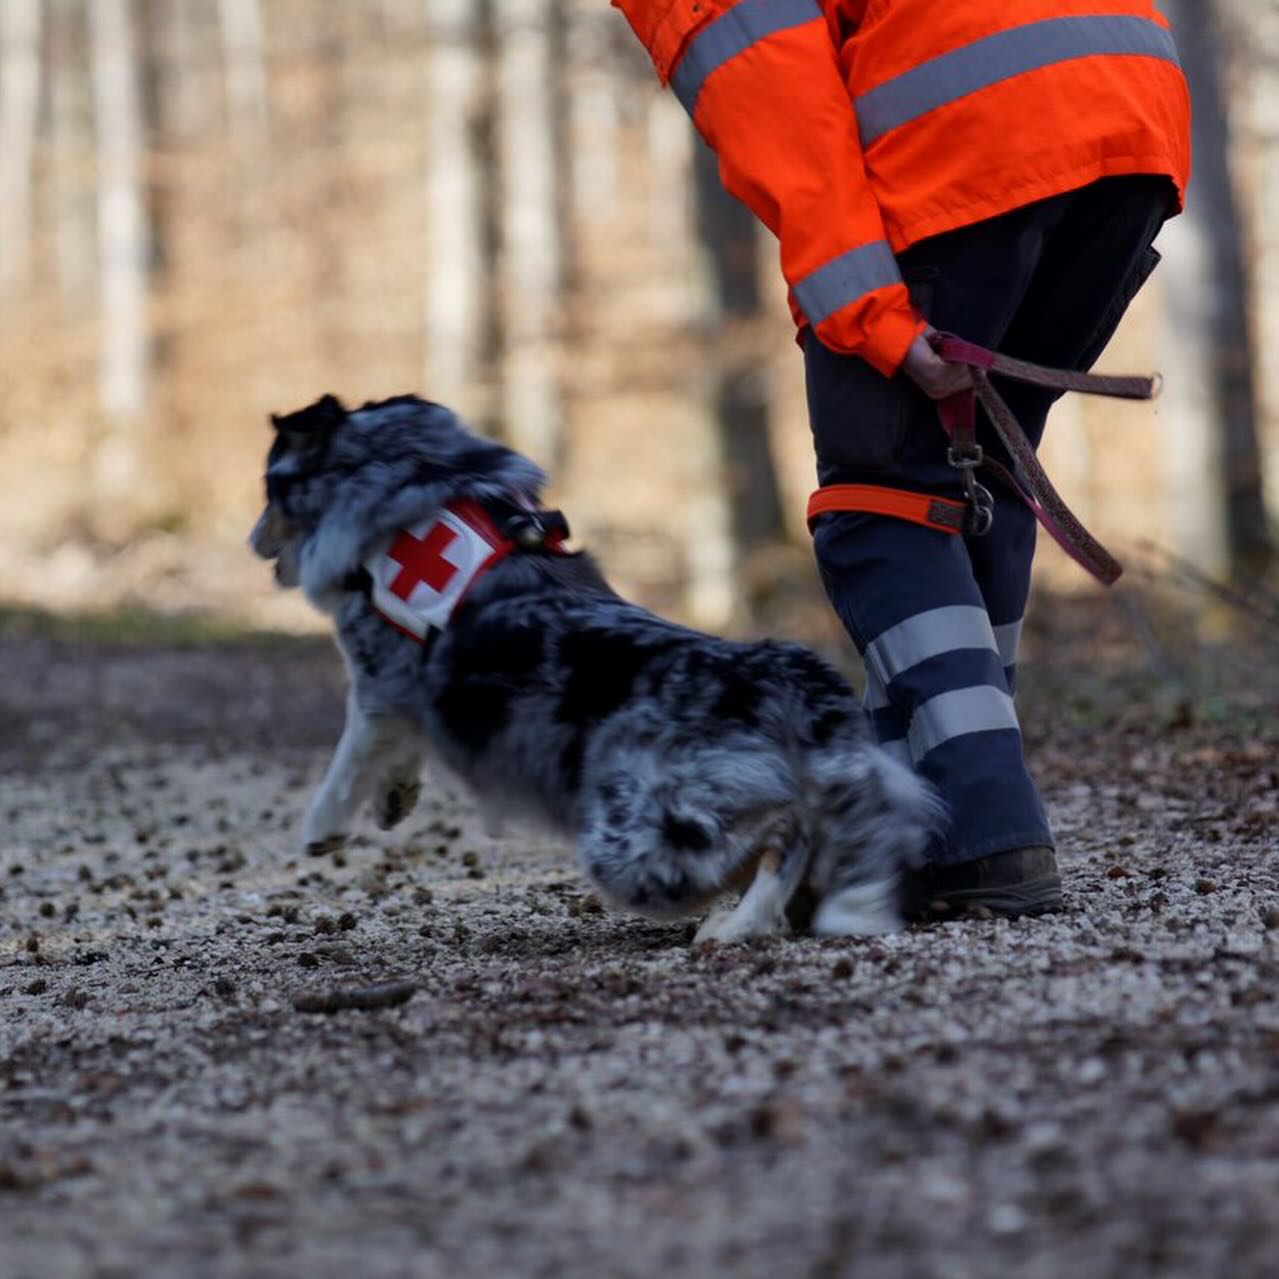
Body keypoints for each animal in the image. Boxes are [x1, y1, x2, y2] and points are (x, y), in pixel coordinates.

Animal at [249, 393, 936, 946]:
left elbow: (349, 761)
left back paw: (735, 925)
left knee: (784, 836)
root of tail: (791, 679)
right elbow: (403, 753)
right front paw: (395, 802)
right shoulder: (419, 695)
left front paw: (322, 831)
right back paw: (743, 922)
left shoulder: (378, 683)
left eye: (268, 492)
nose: (253, 541)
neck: (421, 475)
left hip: (633, 840)